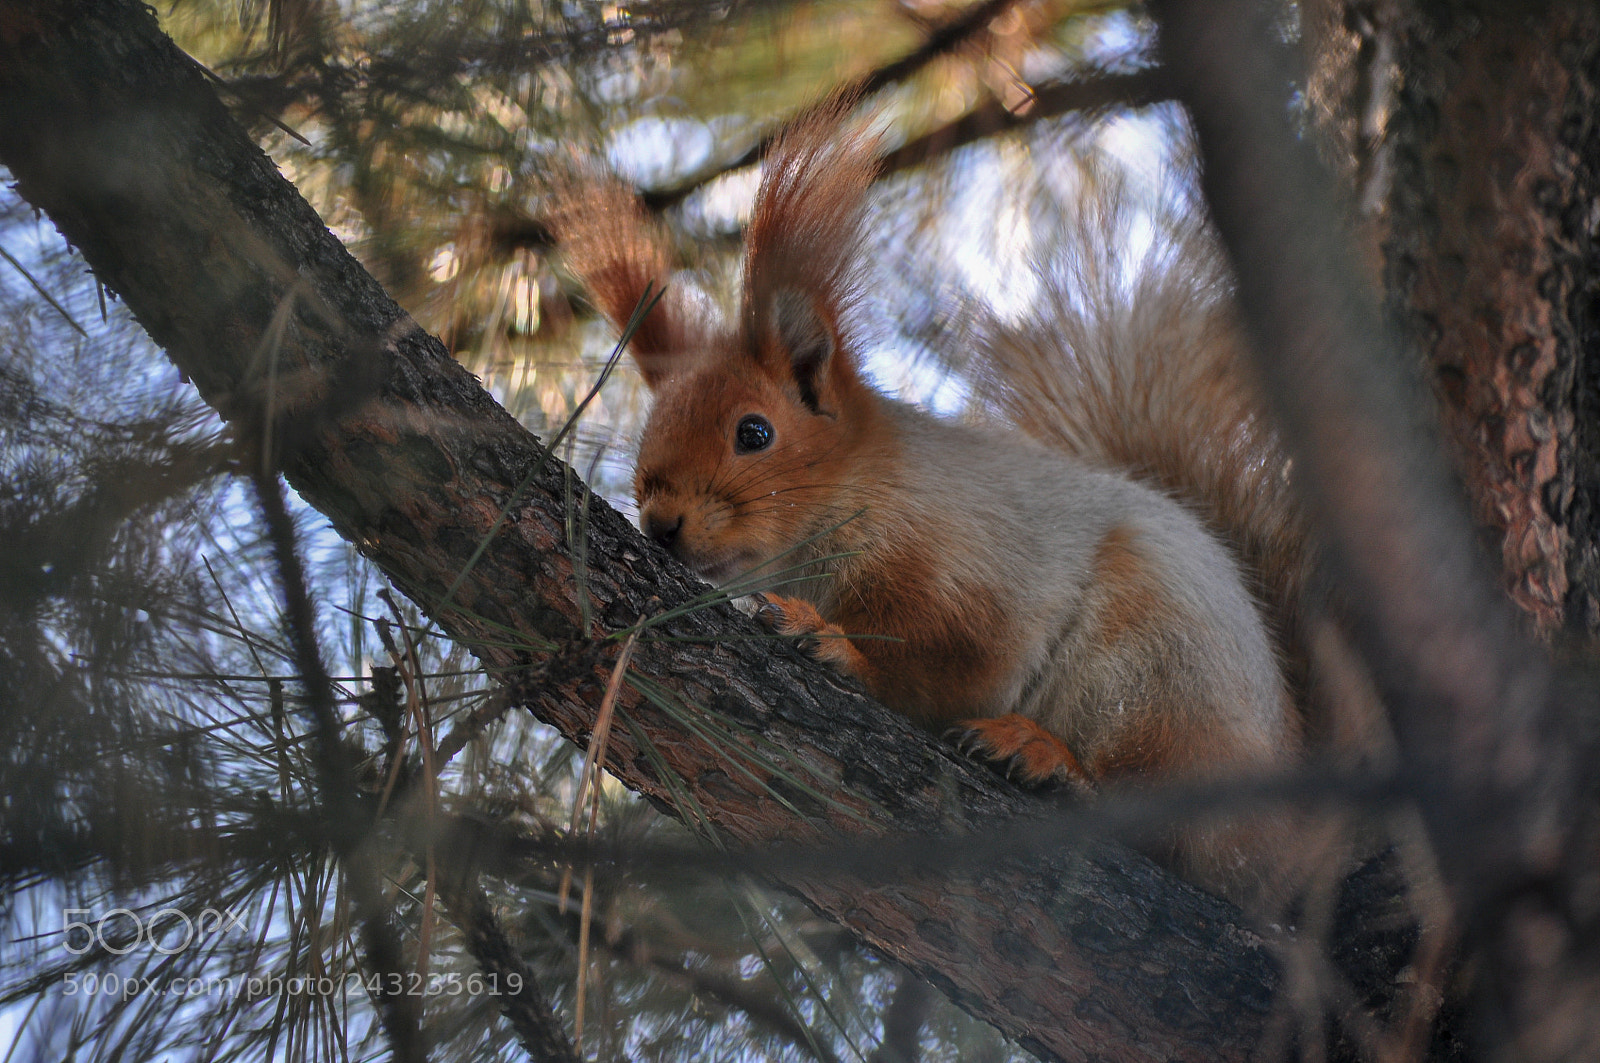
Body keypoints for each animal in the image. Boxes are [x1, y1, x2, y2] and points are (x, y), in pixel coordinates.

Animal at [551, 103, 1318, 907]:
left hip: (1159, 675)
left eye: (754, 433)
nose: (660, 524)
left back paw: (1047, 755)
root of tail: (1303, 837)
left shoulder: (976, 571)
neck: (858, 500)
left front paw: (835, 644)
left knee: (1163, 806)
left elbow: (947, 668)